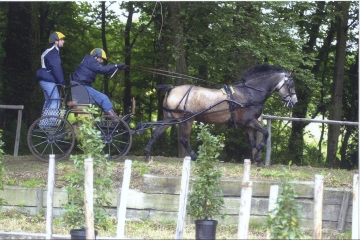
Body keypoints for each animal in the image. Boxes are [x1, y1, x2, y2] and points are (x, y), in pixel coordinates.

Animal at [142, 64, 296, 166]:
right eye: (291, 84)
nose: (295, 101)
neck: (250, 93)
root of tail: (172, 89)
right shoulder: (250, 121)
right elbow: (265, 134)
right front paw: (257, 153)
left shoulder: (247, 124)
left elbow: (252, 141)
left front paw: (257, 158)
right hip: (187, 120)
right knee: (183, 139)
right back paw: (194, 156)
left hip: (170, 118)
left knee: (156, 133)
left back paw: (147, 153)